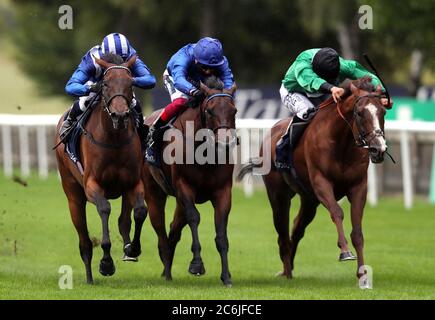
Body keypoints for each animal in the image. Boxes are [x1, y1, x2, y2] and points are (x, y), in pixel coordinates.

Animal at [54, 53, 146, 284]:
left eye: (130, 83)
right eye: (105, 84)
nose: (120, 115)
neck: (114, 139)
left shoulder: (133, 182)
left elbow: (140, 211)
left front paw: (133, 249)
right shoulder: (92, 185)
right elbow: (104, 208)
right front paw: (106, 263)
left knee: (124, 219)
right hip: (73, 194)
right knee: (84, 240)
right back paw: (89, 276)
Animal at [142, 78, 238, 288]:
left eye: (234, 110)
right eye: (209, 110)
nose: (225, 143)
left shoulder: (223, 191)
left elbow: (221, 231)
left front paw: (226, 276)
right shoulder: (184, 187)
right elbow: (194, 217)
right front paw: (196, 264)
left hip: (178, 200)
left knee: (174, 229)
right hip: (154, 190)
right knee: (160, 228)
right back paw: (166, 268)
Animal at [237, 77, 394, 284]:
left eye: (383, 112)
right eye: (360, 113)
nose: (378, 149)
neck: (341, 144)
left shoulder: (358, 187)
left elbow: (358, 232)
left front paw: (362, 274)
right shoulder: (321, 182)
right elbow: (337, 212)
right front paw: (345, 252)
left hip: (309, 200)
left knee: (297, 228)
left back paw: (289, 267)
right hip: (278, 195)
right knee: (282, 231)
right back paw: (286, 271)